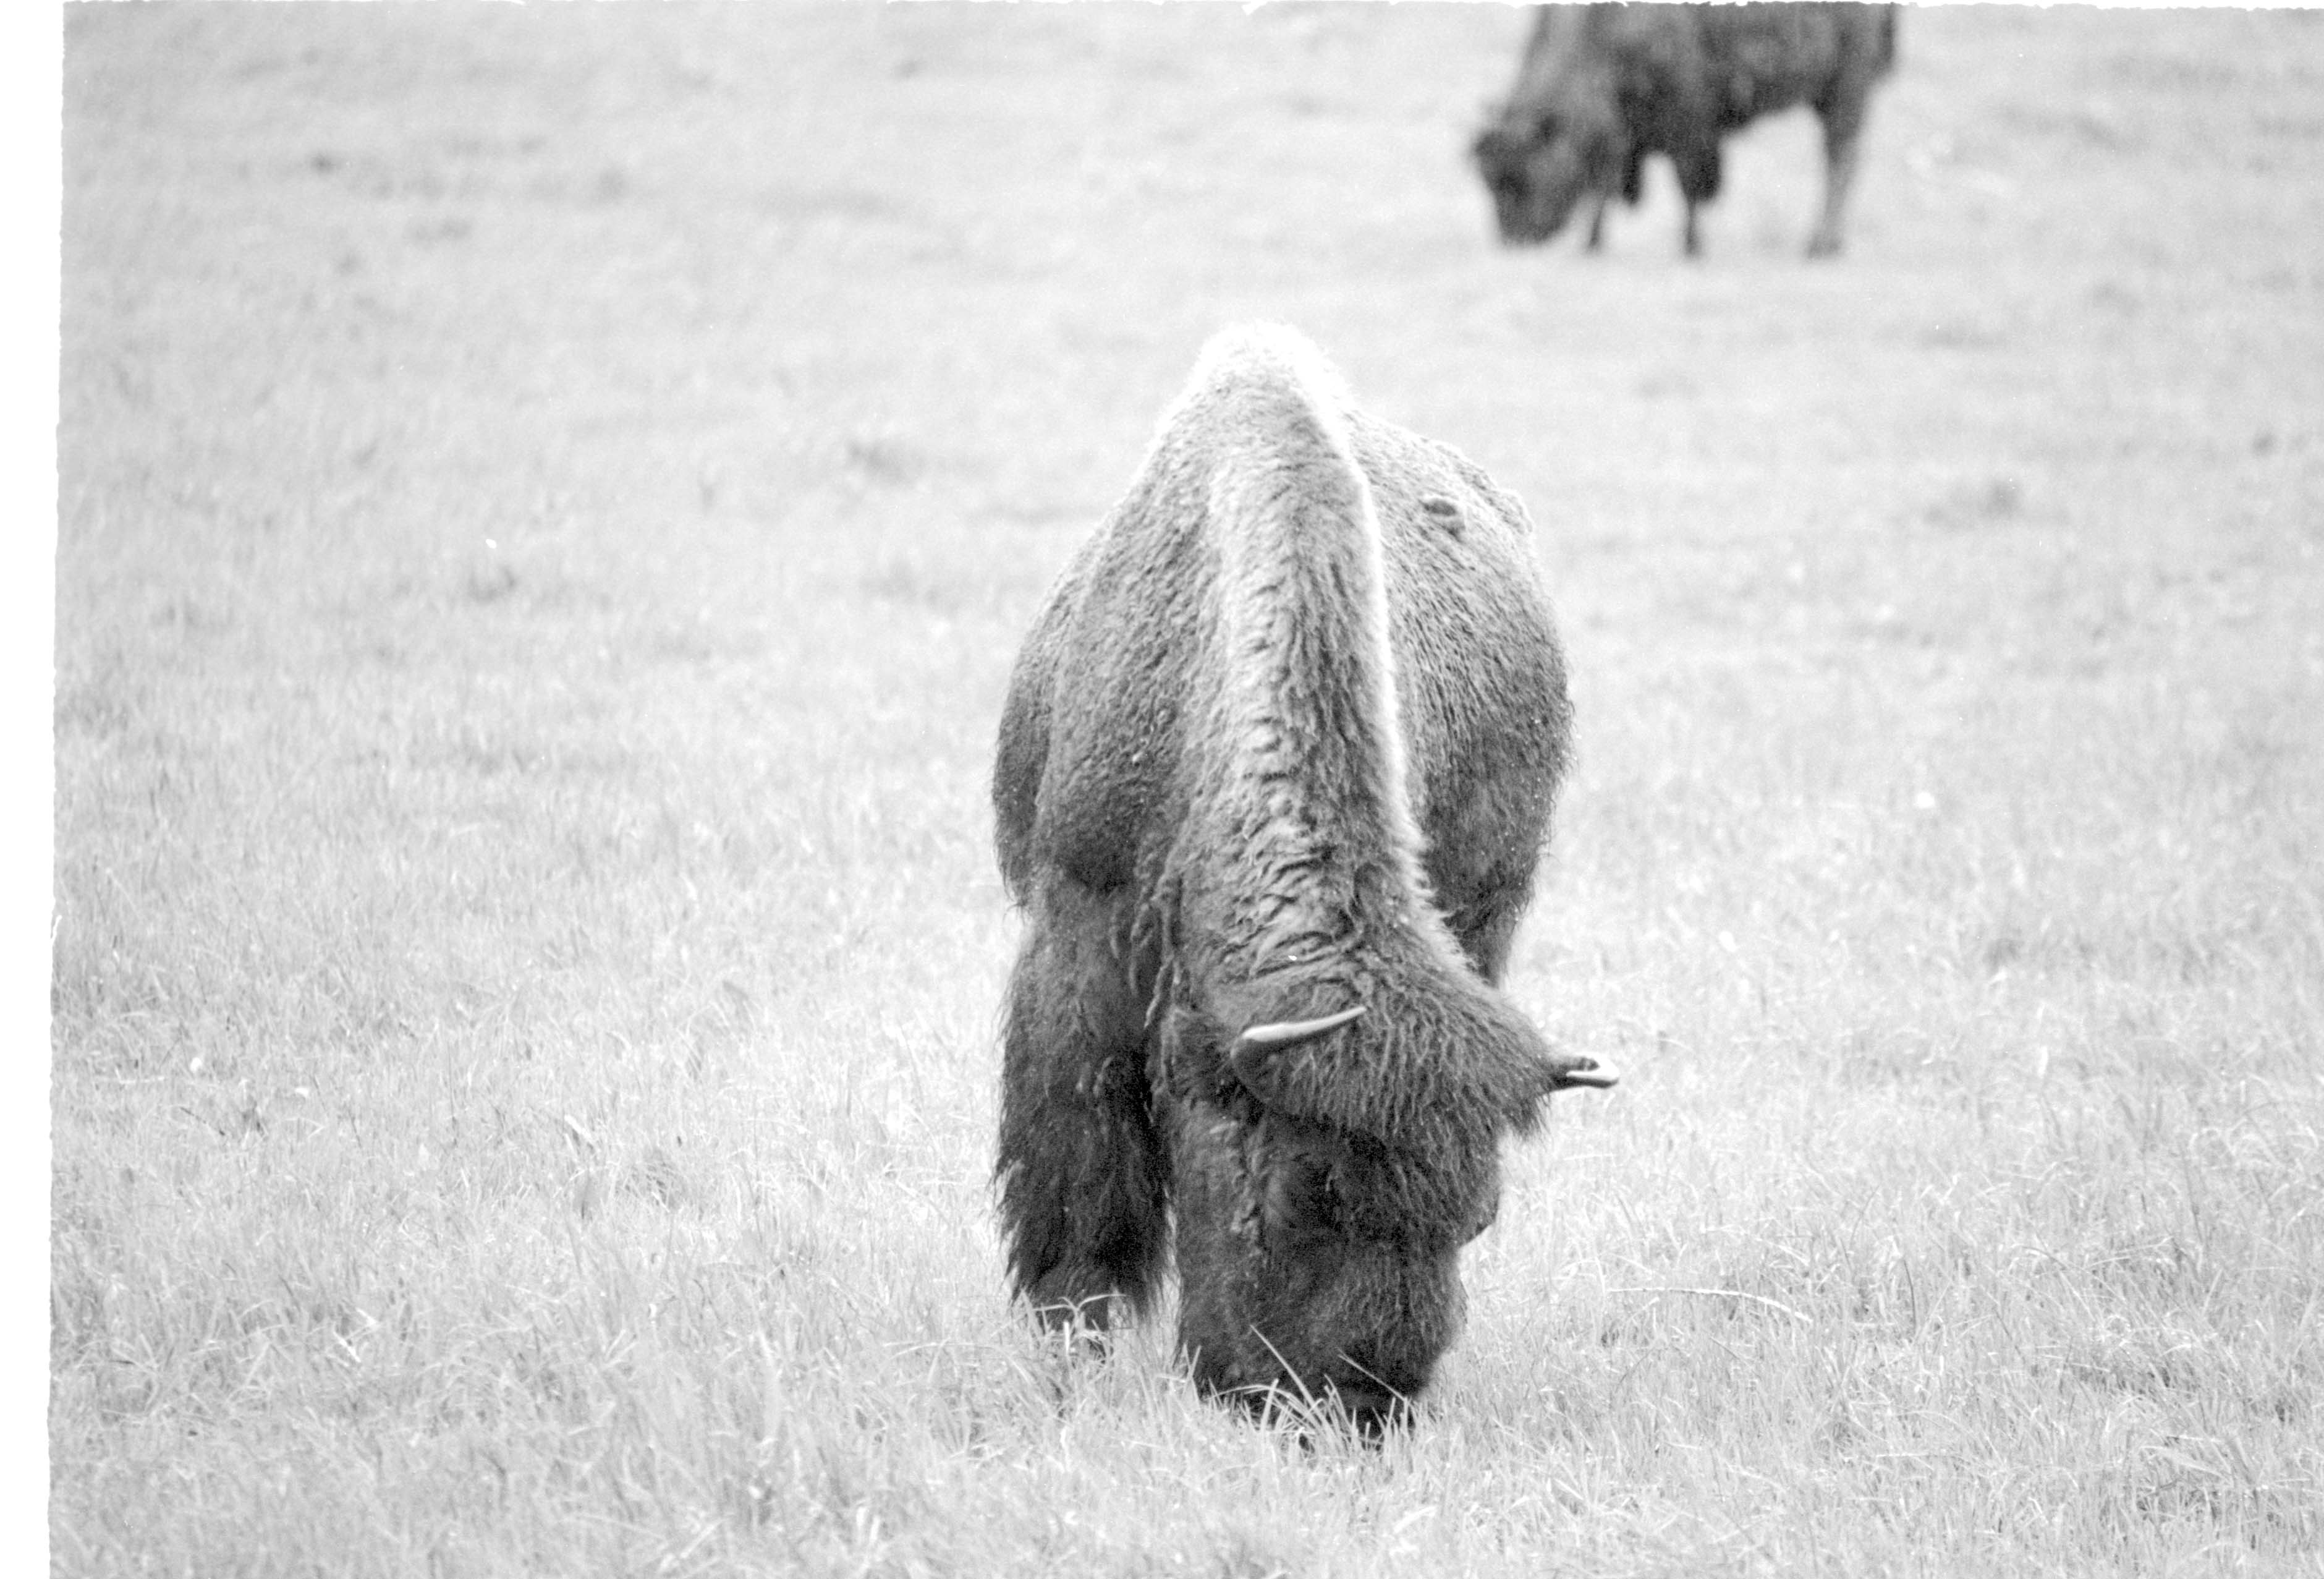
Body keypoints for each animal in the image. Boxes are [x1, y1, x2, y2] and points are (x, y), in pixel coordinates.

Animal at [991, 325, 1614, 1430]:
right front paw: (1072, 1346)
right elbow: (1078, 1169)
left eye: (1478, 1216)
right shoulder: (1077, 941)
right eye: (1299, 1194)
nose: (1354, 1407)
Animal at [1473, 2, 1899, 258]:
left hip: (1844, 89)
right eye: (1489, 180)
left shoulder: (1689, 124)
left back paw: (1819, 245)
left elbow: (1690, 188)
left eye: (1526, 175)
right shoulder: (1623, 132)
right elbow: (1604, 189)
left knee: (1840, 161)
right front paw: (1592, 244)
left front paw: (1692, 247)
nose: (1514, 240)